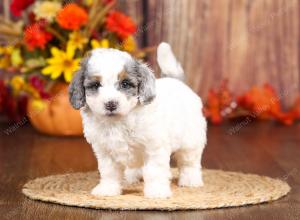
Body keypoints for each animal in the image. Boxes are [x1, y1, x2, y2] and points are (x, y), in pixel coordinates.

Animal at [69, 42, 207, 199]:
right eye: (96, 85)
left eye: (125, 84)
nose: (111, 104)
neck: (118, 122)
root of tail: (176, 81)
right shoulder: (105, 151)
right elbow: (109, 172)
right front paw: (108, 189)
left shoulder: (154, 148)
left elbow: (154, 171)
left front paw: (157, 191)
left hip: (191, 140)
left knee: (189, 161)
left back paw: (190, 180)